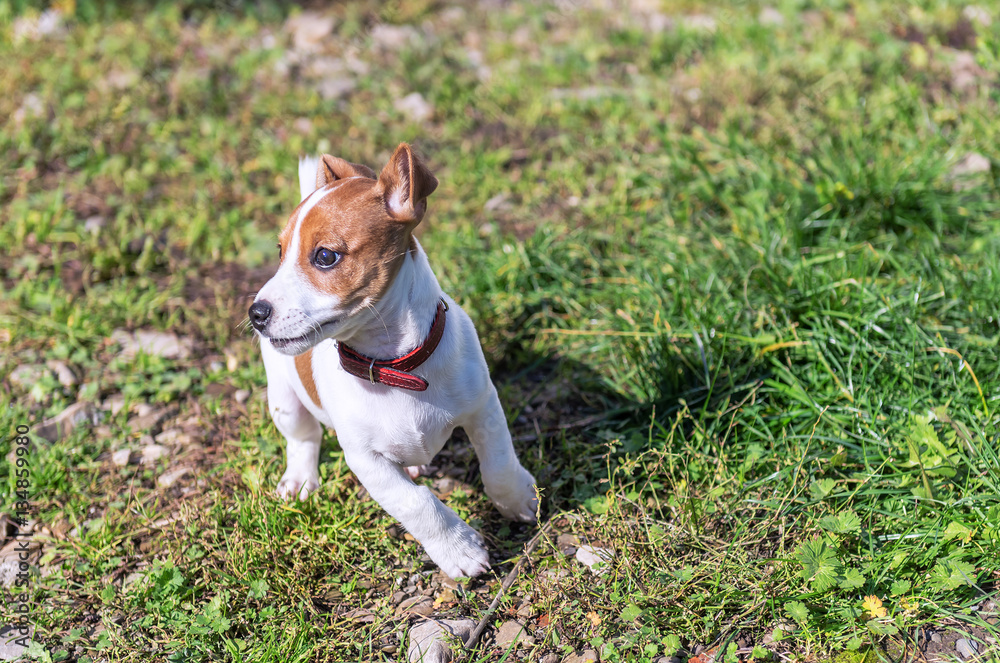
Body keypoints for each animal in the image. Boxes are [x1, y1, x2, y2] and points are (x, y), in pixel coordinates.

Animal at [249, 143, 540, 580]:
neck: (395, 369)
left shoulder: (483, 407)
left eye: (325, 256)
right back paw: (300, 479)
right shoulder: (366, 460)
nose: (256, 313)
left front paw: (518, 499)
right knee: (303, 438)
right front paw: (459, 550)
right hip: (284, 400)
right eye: (280, 254)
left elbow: (499, 464)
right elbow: (417, 503)